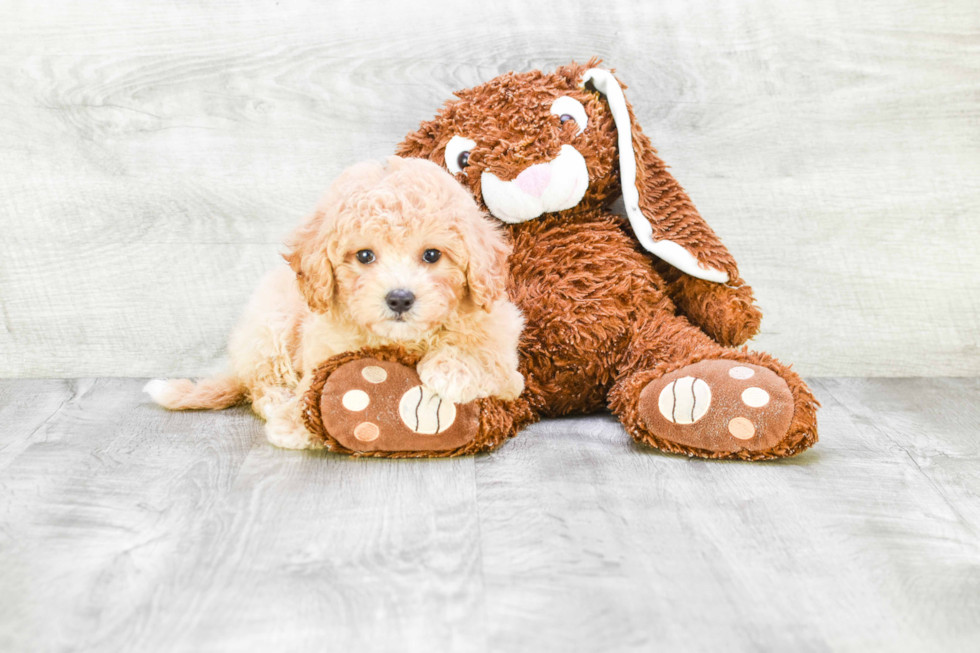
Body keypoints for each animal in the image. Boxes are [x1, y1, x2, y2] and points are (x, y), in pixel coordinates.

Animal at [145, 157, 524, 448]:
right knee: (259, 382)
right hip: (270, 323)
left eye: (432, 255)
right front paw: (295, 421)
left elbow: (484, 356)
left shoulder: (508, 361)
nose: (400, 299)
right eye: (365, 255)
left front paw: (450, 371)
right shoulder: (324, 350)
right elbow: (313, 388)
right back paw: (277, 399)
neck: (403, 341)